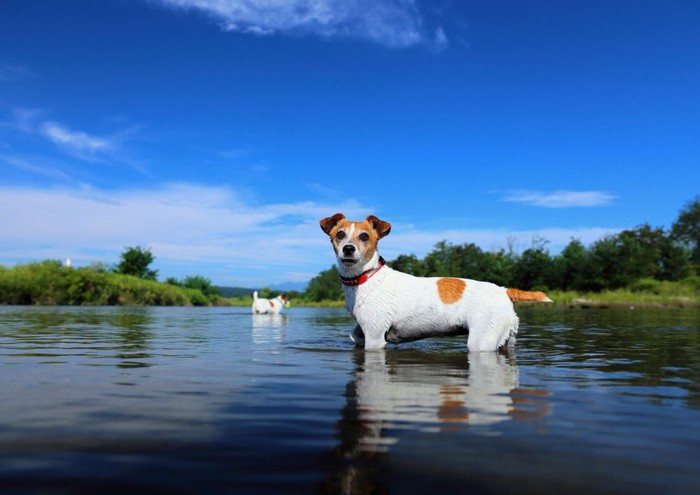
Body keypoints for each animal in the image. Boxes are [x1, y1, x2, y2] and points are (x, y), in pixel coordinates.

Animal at [318, 213, 552, 352]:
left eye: (364, 236)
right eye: (340, 234)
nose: (348, 249)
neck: (367, 278)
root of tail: (504, 291)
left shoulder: (375, 338)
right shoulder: (362, 331)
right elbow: (353, 336)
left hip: (481, 342)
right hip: (506, 340)